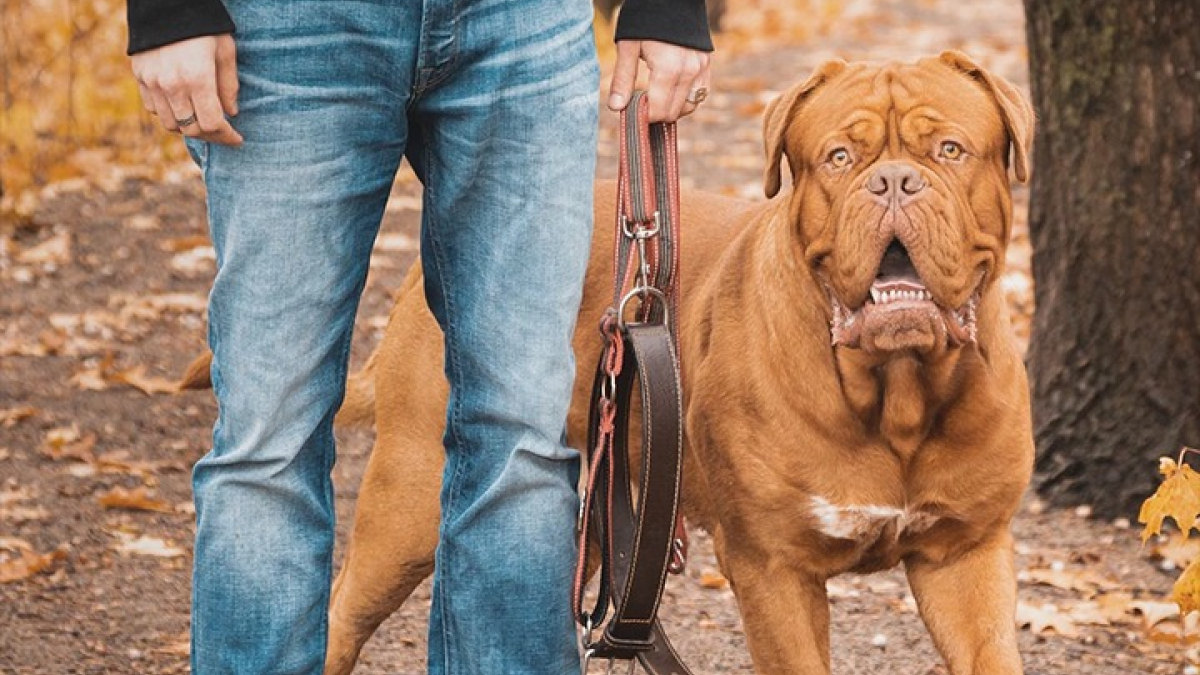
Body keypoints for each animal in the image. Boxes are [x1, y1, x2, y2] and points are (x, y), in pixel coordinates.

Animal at [204, 51, 1032, 672]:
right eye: (839, 157)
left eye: (950, 150)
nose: (893, 181)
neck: (898, 393)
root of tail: (425, 263)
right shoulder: (774, 570)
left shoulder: (967, 555)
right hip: (410, 492)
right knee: (345, 610)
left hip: (604, 509)